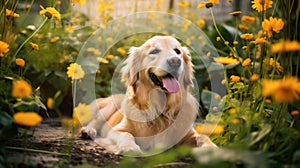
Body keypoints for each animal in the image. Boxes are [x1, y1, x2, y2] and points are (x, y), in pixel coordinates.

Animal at [79, 35, 216, 155]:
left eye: (177, 51)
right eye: (154, 51)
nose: (175, 61)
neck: (161, 109)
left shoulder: (188, 134)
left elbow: (202, 137)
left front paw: (213, 150)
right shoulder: (116, 130)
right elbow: (127, 135)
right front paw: (130, 148)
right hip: (109, 107)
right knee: (96, 120)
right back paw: (88, 131)